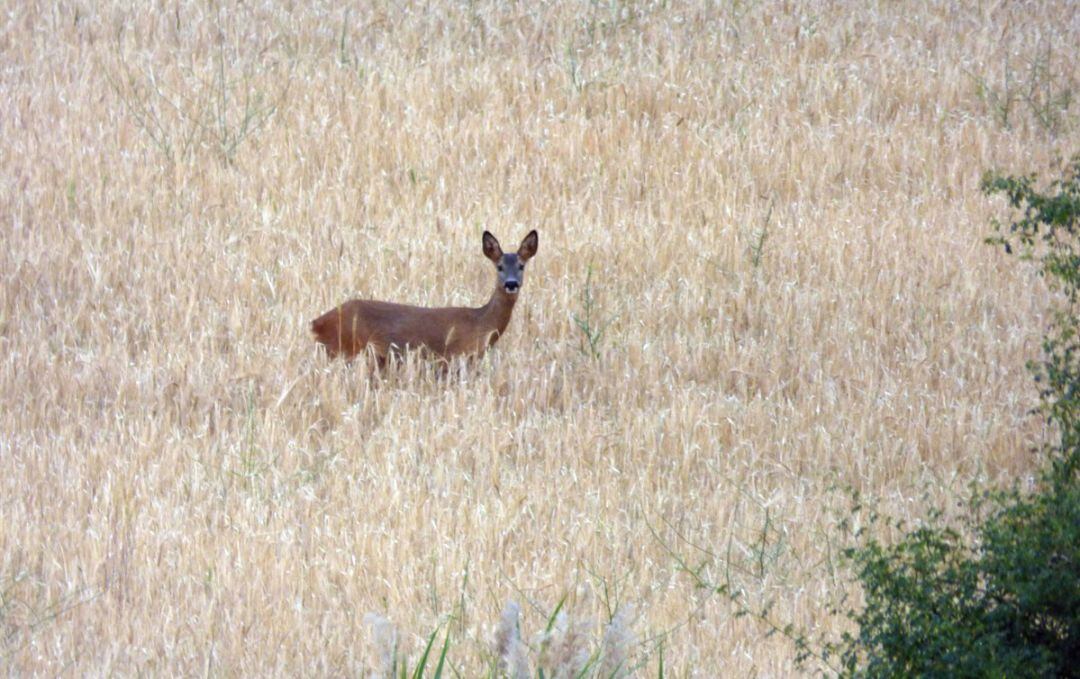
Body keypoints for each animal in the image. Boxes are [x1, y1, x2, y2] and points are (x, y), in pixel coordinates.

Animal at [311, 228, 537, 364]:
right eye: (499, 267)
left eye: (521, 266)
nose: (511, 284)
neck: (482, 323)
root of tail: (316, 323)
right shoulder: (456, 358)